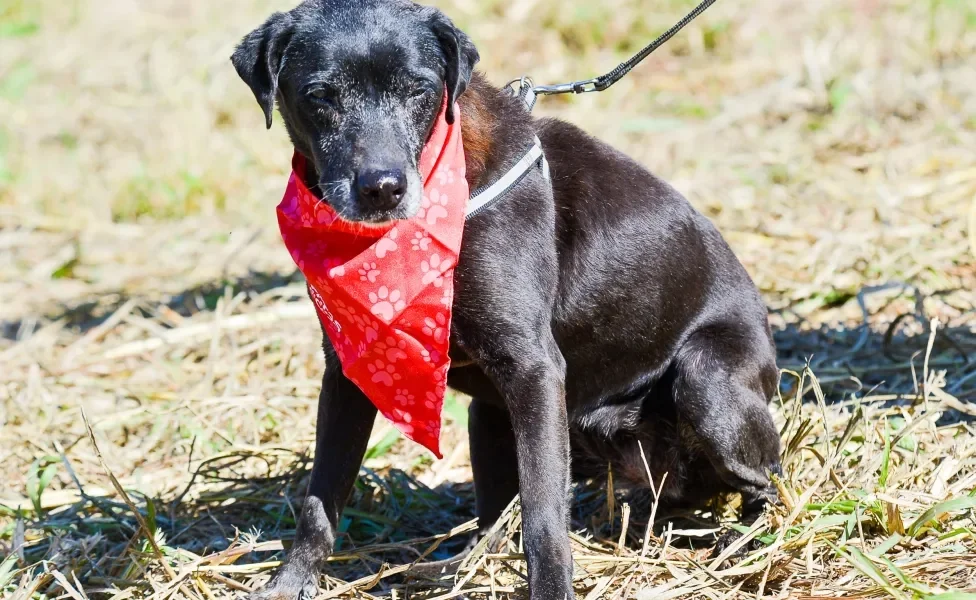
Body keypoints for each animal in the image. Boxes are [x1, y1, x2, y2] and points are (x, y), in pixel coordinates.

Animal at [233, 2, 780, 596]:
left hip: (708, 383)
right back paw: (456, 568)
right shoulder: (351, 369)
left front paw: (552, 589)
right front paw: (289, 582)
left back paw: (746, 544)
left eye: (420, 90)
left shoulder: (534, 370)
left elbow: (543, 515)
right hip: (490, 417)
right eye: (319, 95)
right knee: (496, 518)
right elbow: (320, 499)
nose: (382, 188)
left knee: (767, 483)